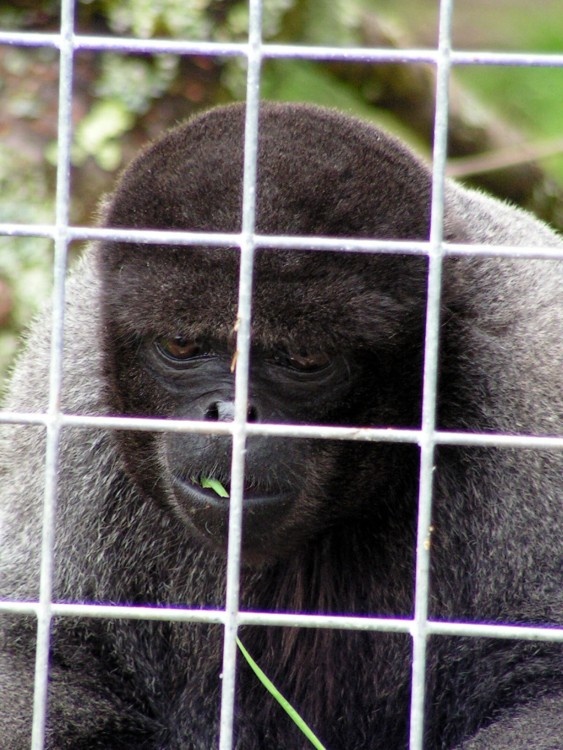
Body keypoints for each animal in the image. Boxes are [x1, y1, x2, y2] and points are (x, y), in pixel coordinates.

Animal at [0, 102, 562, 749]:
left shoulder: (531, 398)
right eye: (182, 344)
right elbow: (38, 664)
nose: (233, 413)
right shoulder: (68, 409)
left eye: (305, 358)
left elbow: (544, 693)